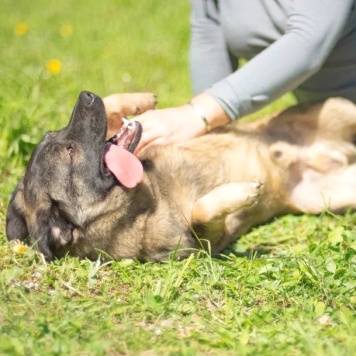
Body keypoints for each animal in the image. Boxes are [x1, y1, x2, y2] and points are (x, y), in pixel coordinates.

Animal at [4, 90, 356, 260]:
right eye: (69, 151)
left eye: (55, 133)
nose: (85, 94)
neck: (145, 197)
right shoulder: (204, 242)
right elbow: (199, 212)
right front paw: (241, 192)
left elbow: (116, 107)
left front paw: (138, 100)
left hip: (340, 108)